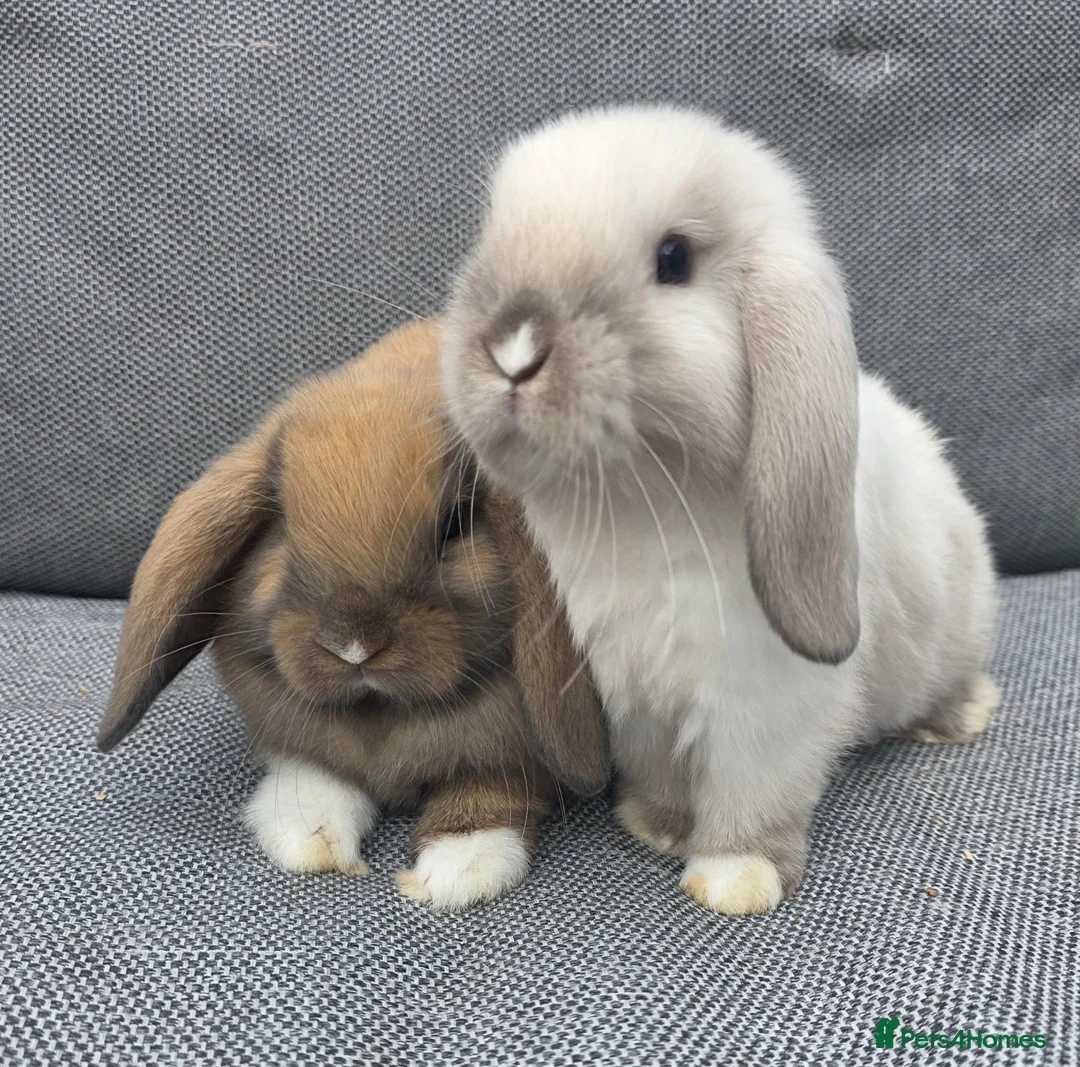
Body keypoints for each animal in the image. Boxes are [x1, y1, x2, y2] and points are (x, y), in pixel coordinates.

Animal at [97, 319, 608, 912]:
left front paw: (456, 871)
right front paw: (309, 840)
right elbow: (318, 779)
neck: (380, 715)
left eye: (455, 526)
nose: (355, 645)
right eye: (282, 526)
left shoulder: (516, 753)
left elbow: (490, 793)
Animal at [440, 105, 999, 915]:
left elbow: (751, 792)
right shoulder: (634, 696)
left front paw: (735, 879)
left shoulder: (764, 706)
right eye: (493, 233)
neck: (640, 507)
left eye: (674, 259)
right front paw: (659, 827)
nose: (513, 349)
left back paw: (959, 716)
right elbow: (663, 772)